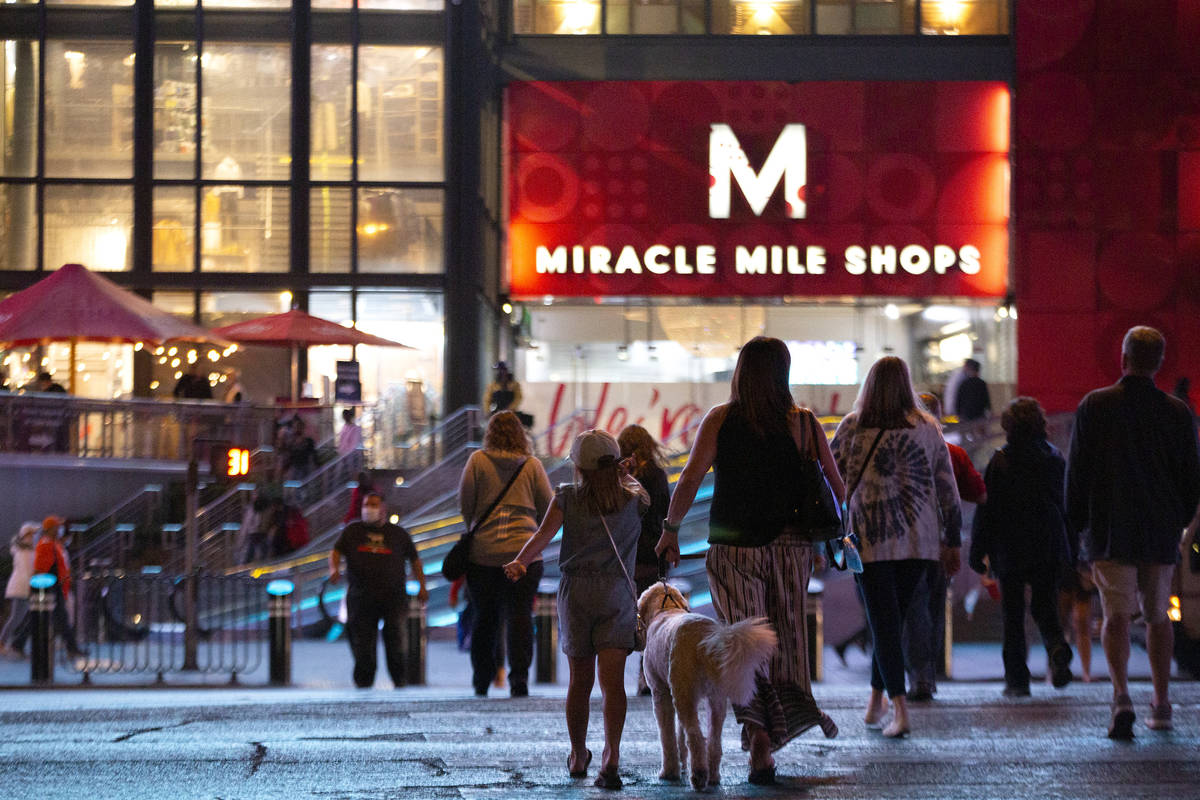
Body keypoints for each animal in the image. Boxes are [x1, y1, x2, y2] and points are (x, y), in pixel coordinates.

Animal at [638, 578, 777, 791]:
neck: (666, 609)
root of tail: (706, 636)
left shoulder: (661, 693)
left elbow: (667, 735)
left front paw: (670, 771)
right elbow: (679, 733)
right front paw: (681, 763)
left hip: (685, 692)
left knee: (695, 736)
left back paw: (698, 775)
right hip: (715, 697)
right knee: (713, 740)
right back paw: (713, 776)